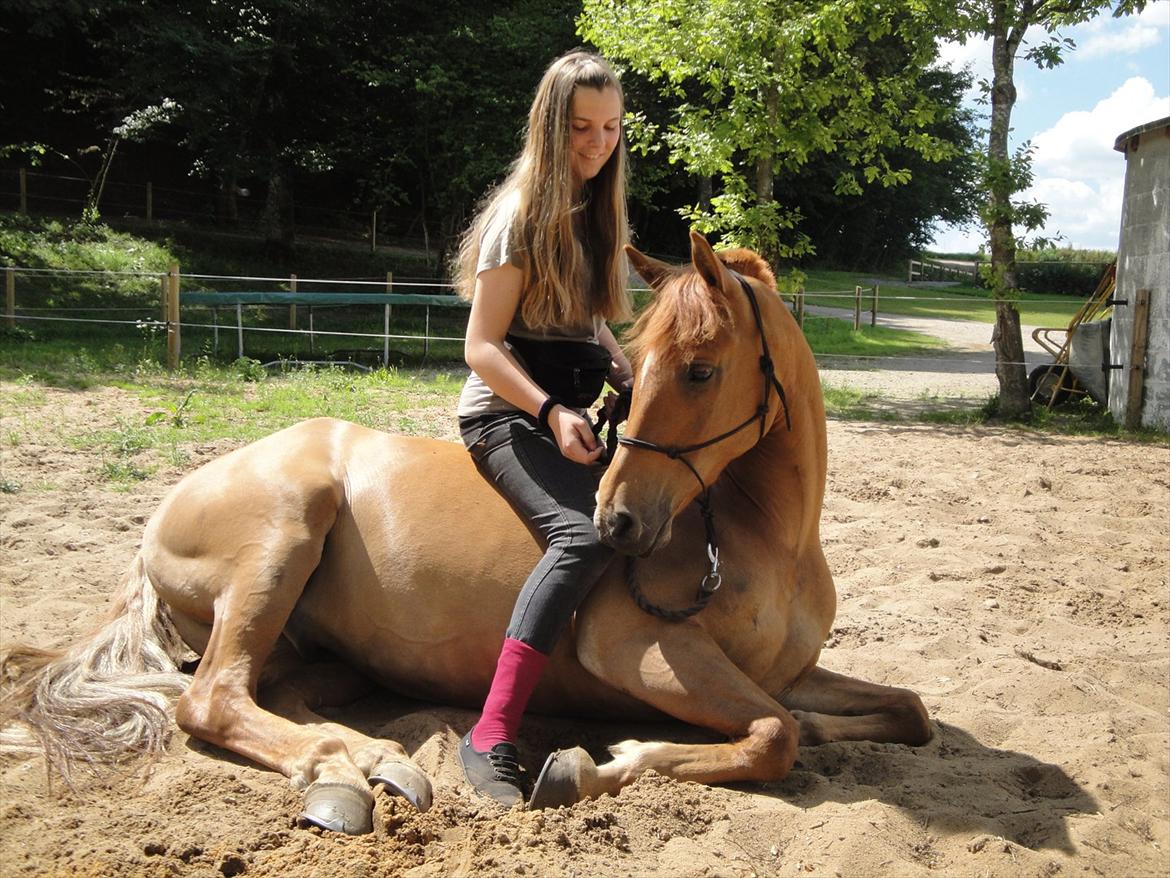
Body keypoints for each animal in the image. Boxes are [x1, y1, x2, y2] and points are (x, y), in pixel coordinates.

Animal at [0, 232, 931, 835]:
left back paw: (365, 762)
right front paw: (600, 763)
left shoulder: (787, 673)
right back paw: (346, 768)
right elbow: (773, 736)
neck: (763, 541)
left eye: (700, 370)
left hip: (320, 650)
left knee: (278, 695)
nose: (617, 520)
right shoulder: (637, 650)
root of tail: (164, 512)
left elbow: (899, 713)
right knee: (213, 698)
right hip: (279, 542)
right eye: (638, 367)